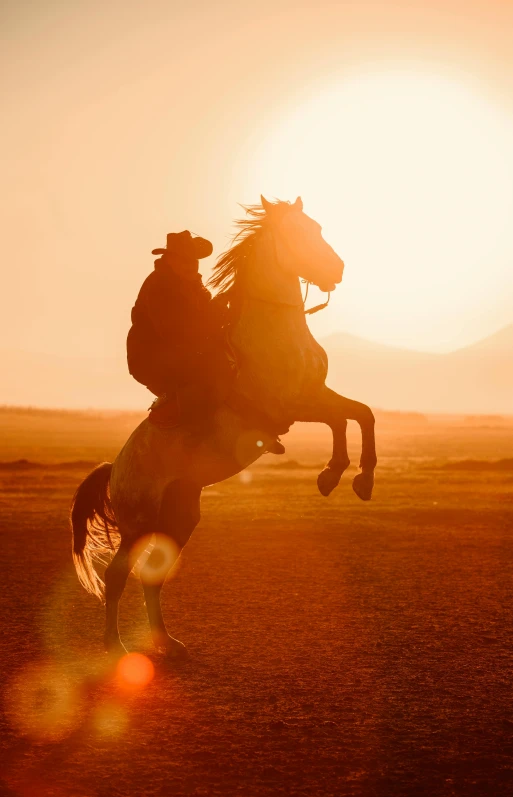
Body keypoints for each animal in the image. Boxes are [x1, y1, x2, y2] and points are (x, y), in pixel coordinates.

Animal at [71, 196, 376, 656]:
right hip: (137, 525)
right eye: (297, 232)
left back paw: (167, 642)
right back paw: (116, 646)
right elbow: (343, 418)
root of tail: (114, 470)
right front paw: (336, 474)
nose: (336, 270)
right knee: (117, 575)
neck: (272, 328)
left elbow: (360, 414)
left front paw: (355, 479)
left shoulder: (316, 393)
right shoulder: (290, 405)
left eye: (317, 227)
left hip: (178, 519)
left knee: (152, 576)